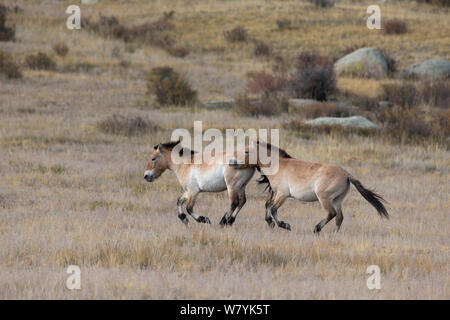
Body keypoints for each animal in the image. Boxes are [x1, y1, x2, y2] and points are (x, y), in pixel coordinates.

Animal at [230, 141, 388, 234]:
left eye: (246, 152)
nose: (232, 162)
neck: (278, 165)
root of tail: (346, 174)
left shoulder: (282, 194)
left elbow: (273, 209)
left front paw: (284, 225)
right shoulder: (276, 193)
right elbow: (268, 206)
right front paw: (271, 223)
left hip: (324, 198)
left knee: (331, 214)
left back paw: (316, 229)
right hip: (337, 200)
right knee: (339, 217)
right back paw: (334, 234)